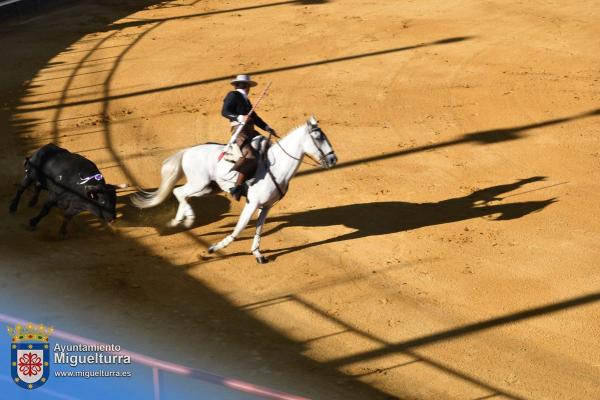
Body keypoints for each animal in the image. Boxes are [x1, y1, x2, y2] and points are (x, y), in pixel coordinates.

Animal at [131, 116, 336, 262]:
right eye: (319, 138)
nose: (334, 159)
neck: (278, 167)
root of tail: (188, 151)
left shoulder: (266, 206)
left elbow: (259, 228)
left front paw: (258, 254)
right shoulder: (252, 203)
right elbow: (239, 228)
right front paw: (214, 249)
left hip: (208, 188)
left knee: (182, 194)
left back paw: (179, 220)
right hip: (199, 183)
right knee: (178, 192)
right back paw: (186, 219)